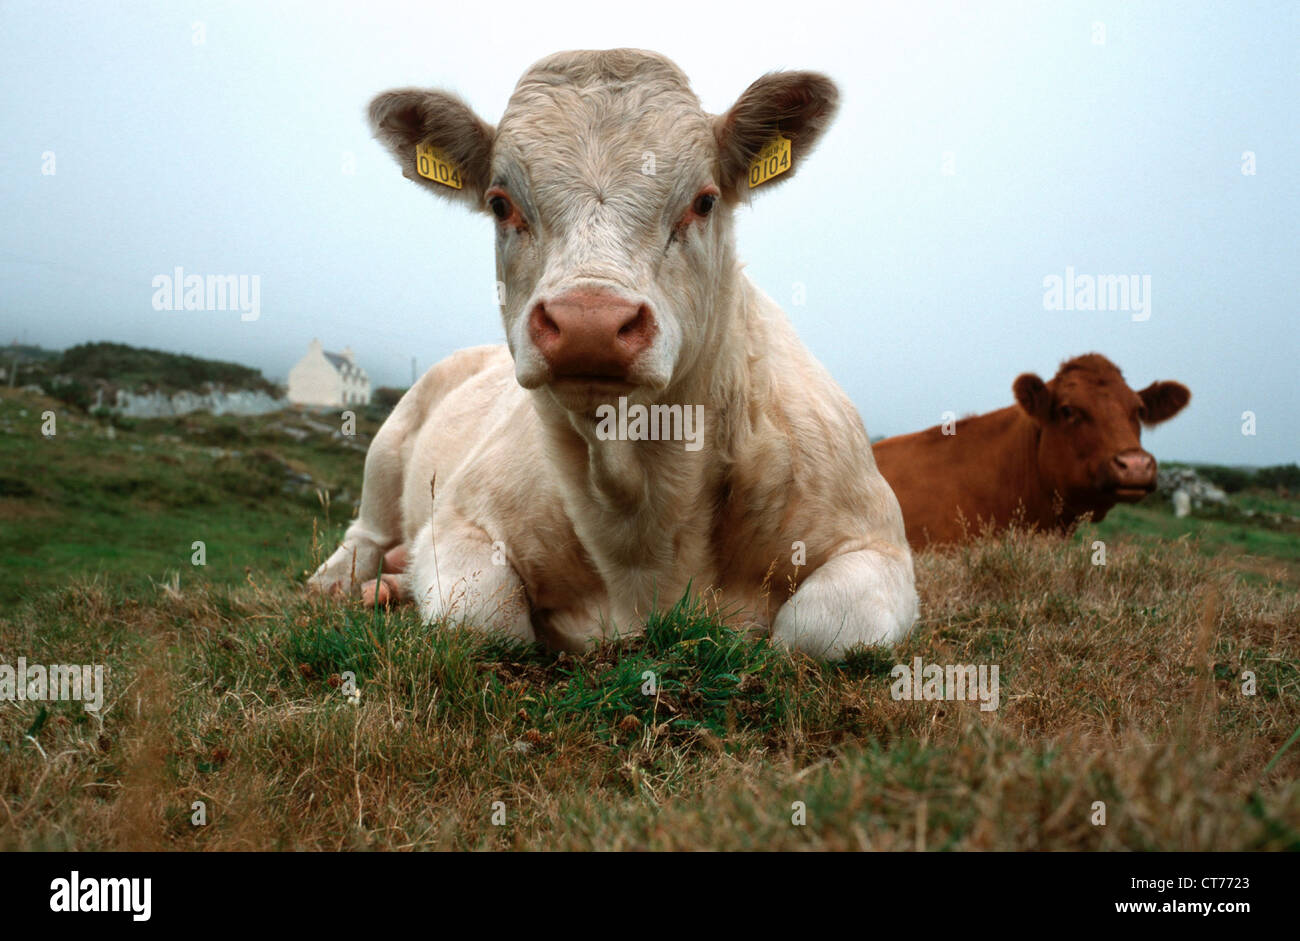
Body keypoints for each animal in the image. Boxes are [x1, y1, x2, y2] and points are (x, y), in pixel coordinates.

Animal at [309, 47, 920, 657]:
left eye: (704, 201)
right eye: (501, 205)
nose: (589, 323)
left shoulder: (877, 543)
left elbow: (823, 626)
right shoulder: (458, 519)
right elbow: (482, 616)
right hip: (388, 447)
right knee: (365, 533)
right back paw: (349, 581)